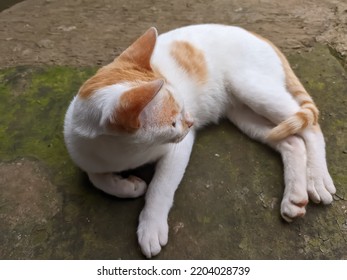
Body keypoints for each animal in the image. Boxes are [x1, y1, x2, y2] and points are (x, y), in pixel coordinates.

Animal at [63, 24, 338, 258]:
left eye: (182, 109)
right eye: (173, 121)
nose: (191, 121)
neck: (125, 152)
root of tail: (257, 34)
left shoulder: (178, 149)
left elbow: (160, 188)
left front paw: (150, 226)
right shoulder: (86, 156)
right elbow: (96, 178)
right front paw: (127, 187)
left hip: (252, 89)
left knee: (311, 127)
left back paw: (317, 179)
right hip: (245, 115)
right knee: (292, 141)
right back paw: (294, 196)